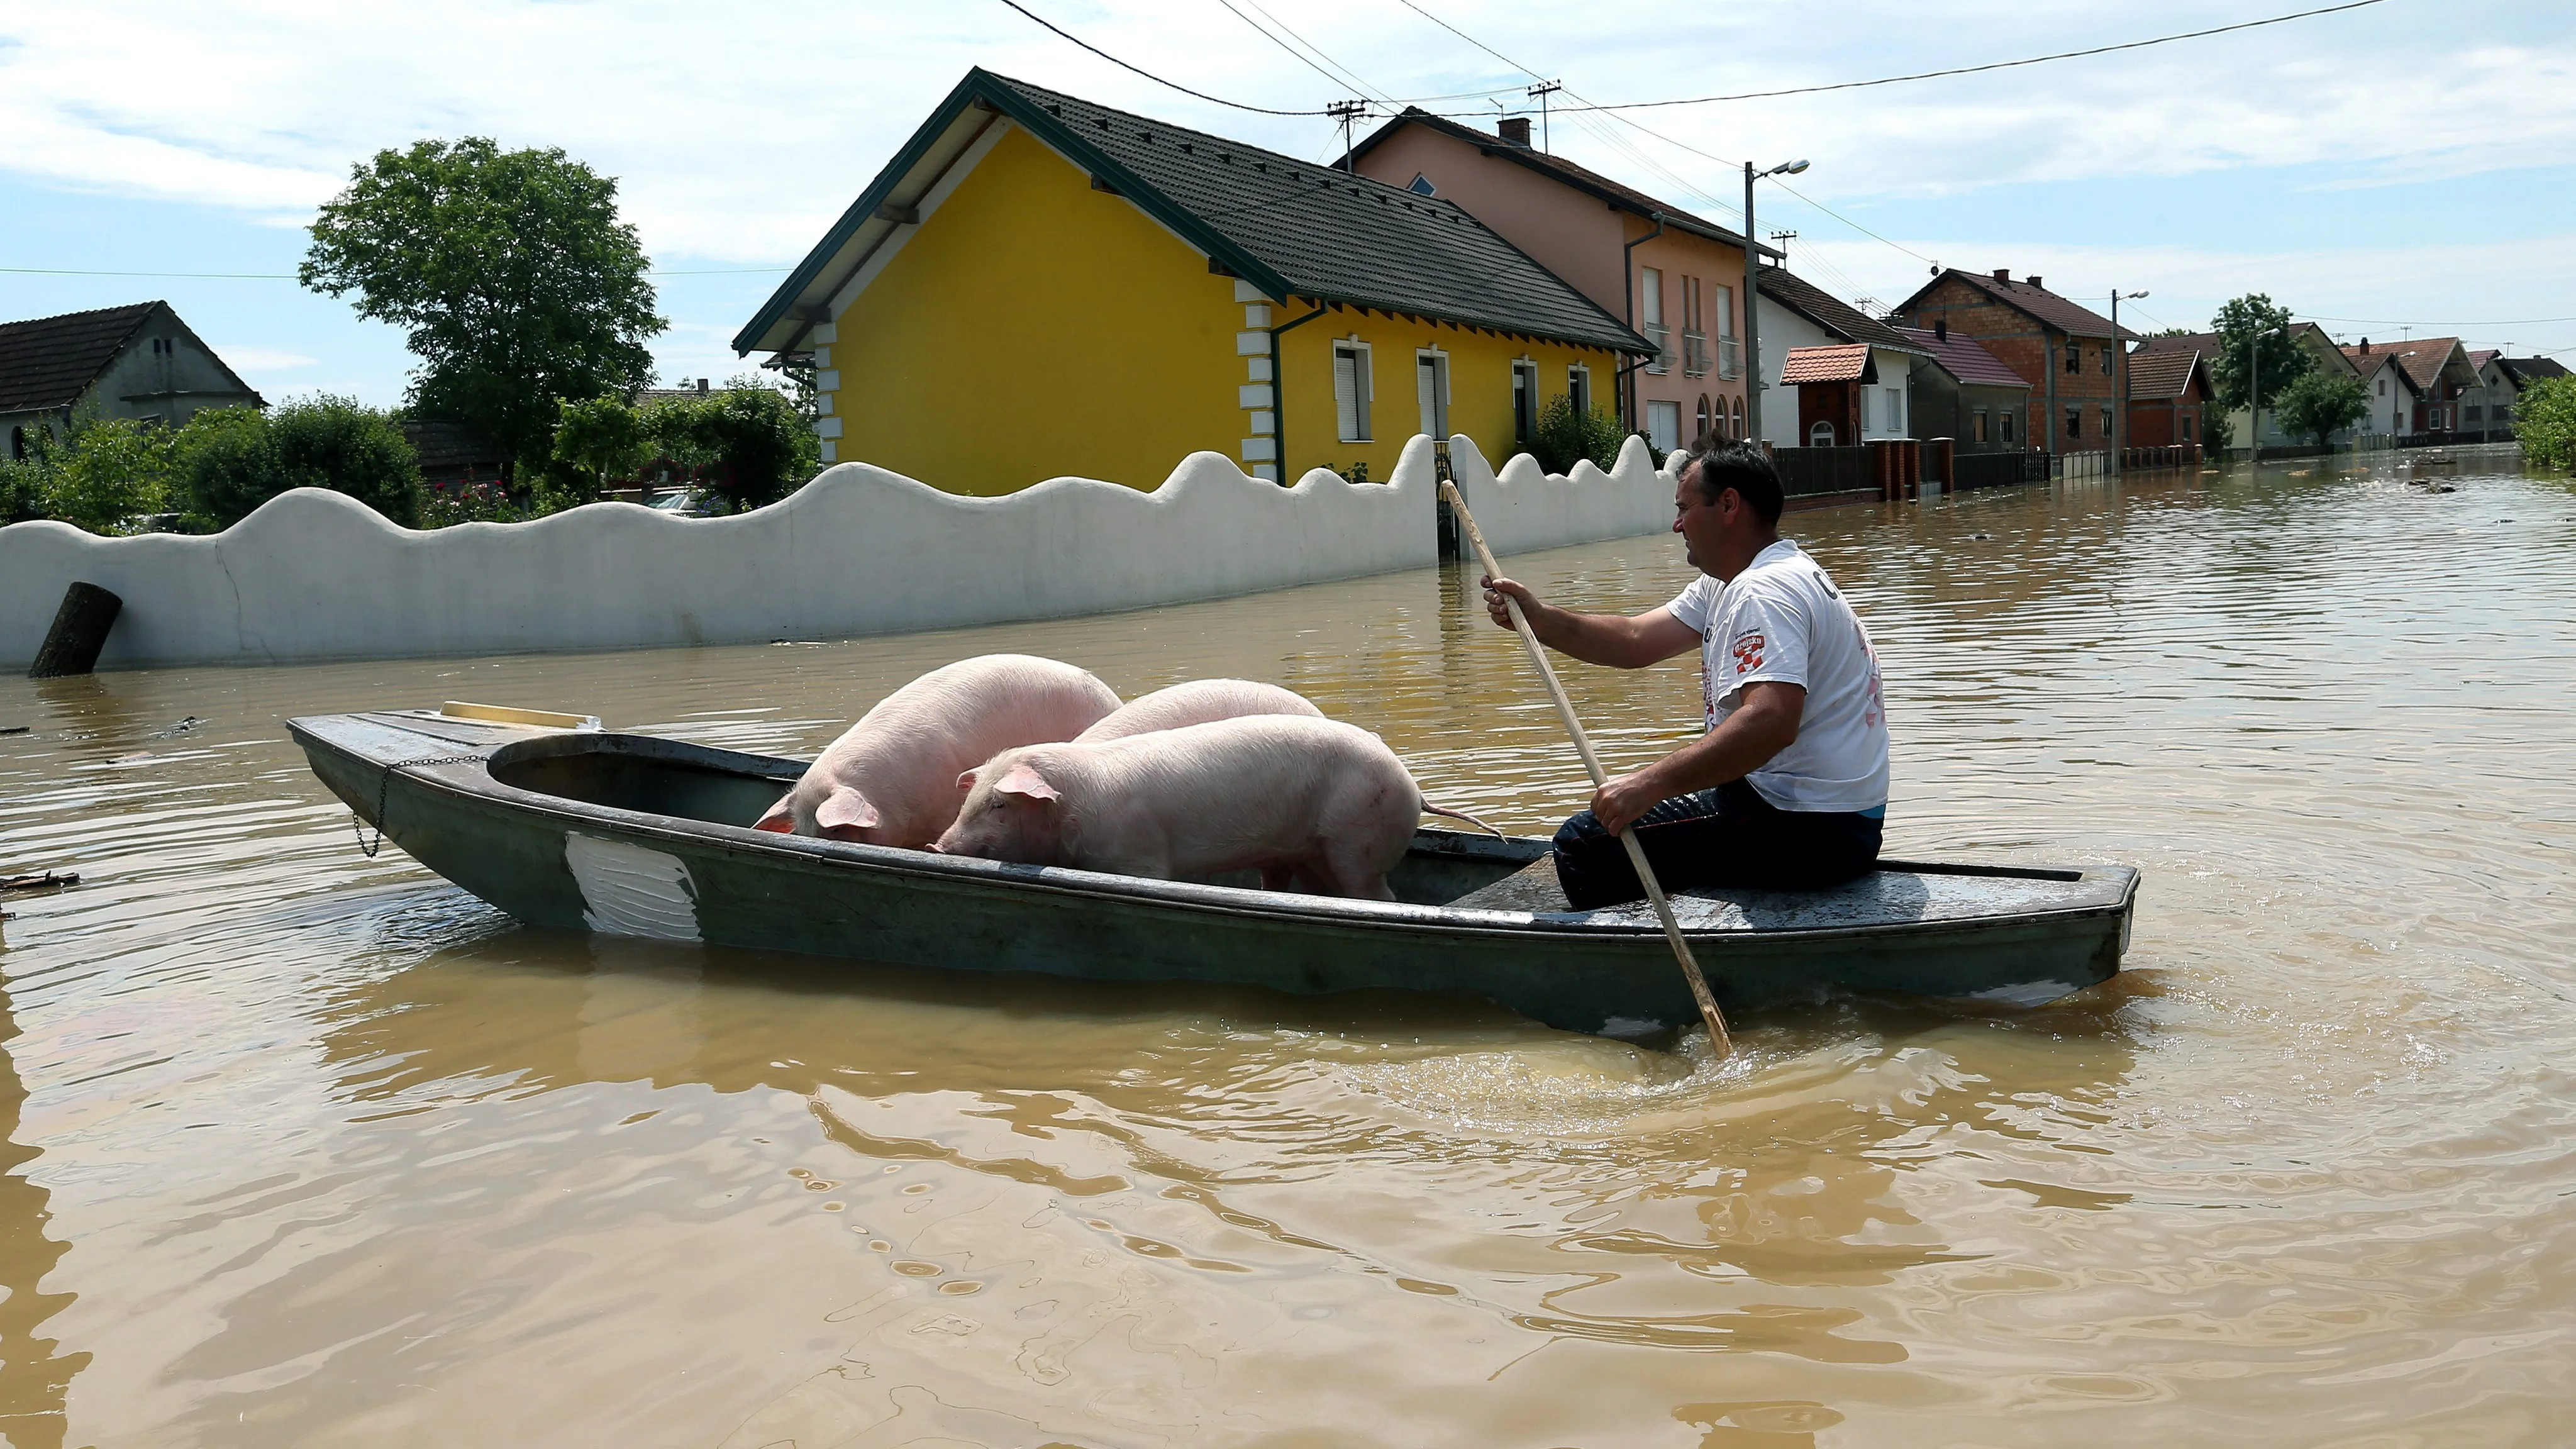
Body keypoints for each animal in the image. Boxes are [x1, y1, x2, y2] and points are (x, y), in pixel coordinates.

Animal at [932, 711, 1494, 892]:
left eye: (1000, 805)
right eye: (972, 798)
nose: (939, 846)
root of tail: (1416, 788)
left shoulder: (1141, 859)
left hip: (1357, 839)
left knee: (1381, 896)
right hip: (1303, 851)